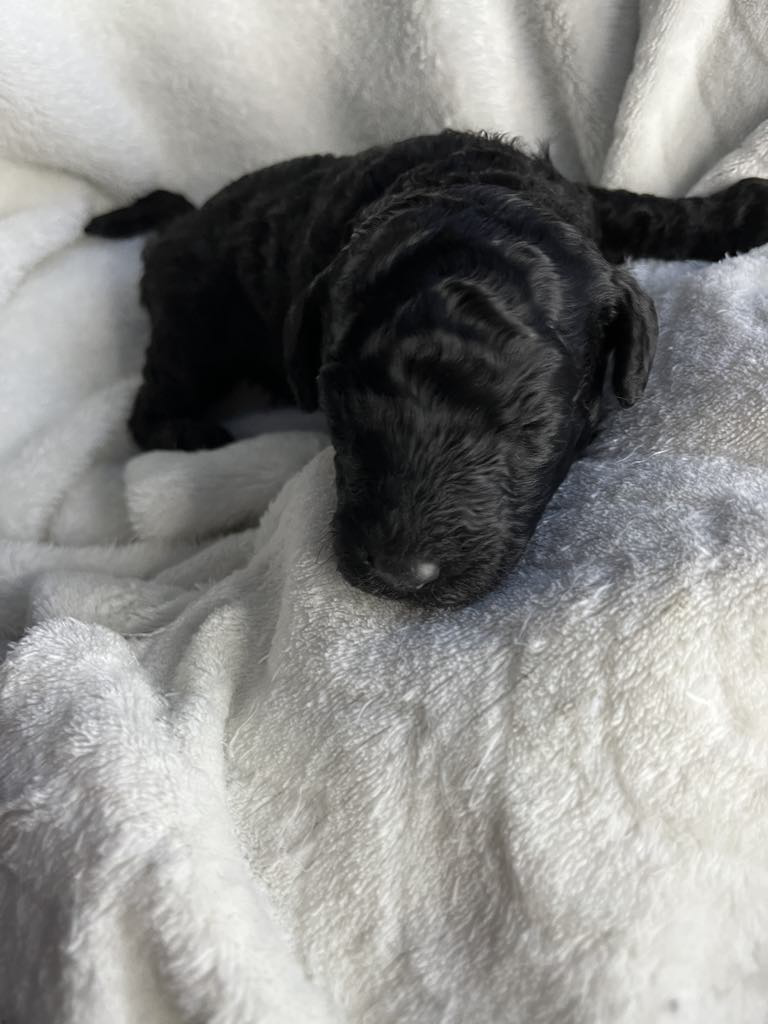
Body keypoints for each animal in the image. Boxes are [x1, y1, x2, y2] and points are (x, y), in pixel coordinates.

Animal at [85, 130, 768, 606]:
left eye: (533, 427)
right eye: (339, 404)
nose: (398, 575)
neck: (463, 184)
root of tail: (183, 220)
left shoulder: (579, 204)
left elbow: (634, 207)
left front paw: (740, 212)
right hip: (194, 324)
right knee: (155, 398)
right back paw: (192, 435)